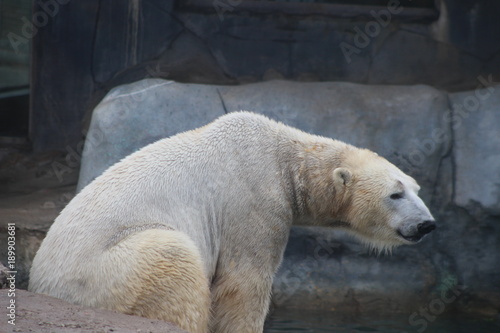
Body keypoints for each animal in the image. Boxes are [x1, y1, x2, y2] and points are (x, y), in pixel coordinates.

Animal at [28, 112, 434, 332]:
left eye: (416, 188)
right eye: (395, 194)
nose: (427, 225)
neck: (283, 157)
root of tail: (42, 283)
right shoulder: (253, 200)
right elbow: (244, 282)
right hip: (104, 273)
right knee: (172, 257)